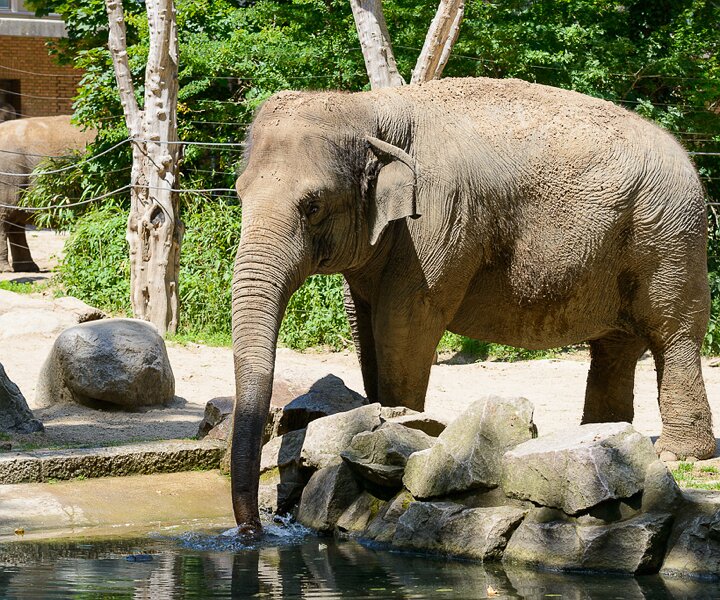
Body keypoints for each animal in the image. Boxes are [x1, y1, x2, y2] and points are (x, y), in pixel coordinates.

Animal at [230, 76, 715, 534]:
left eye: (312, 206)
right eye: (238, 193)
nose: (254, 531)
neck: (369, 109)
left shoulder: (438, 217)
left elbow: (405, 323)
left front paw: (404, 430)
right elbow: (365, 325)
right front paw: (377, 421)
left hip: (669, 237)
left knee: (673, 333)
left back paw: (677, 454)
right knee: (616, 346)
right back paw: (601, 436)